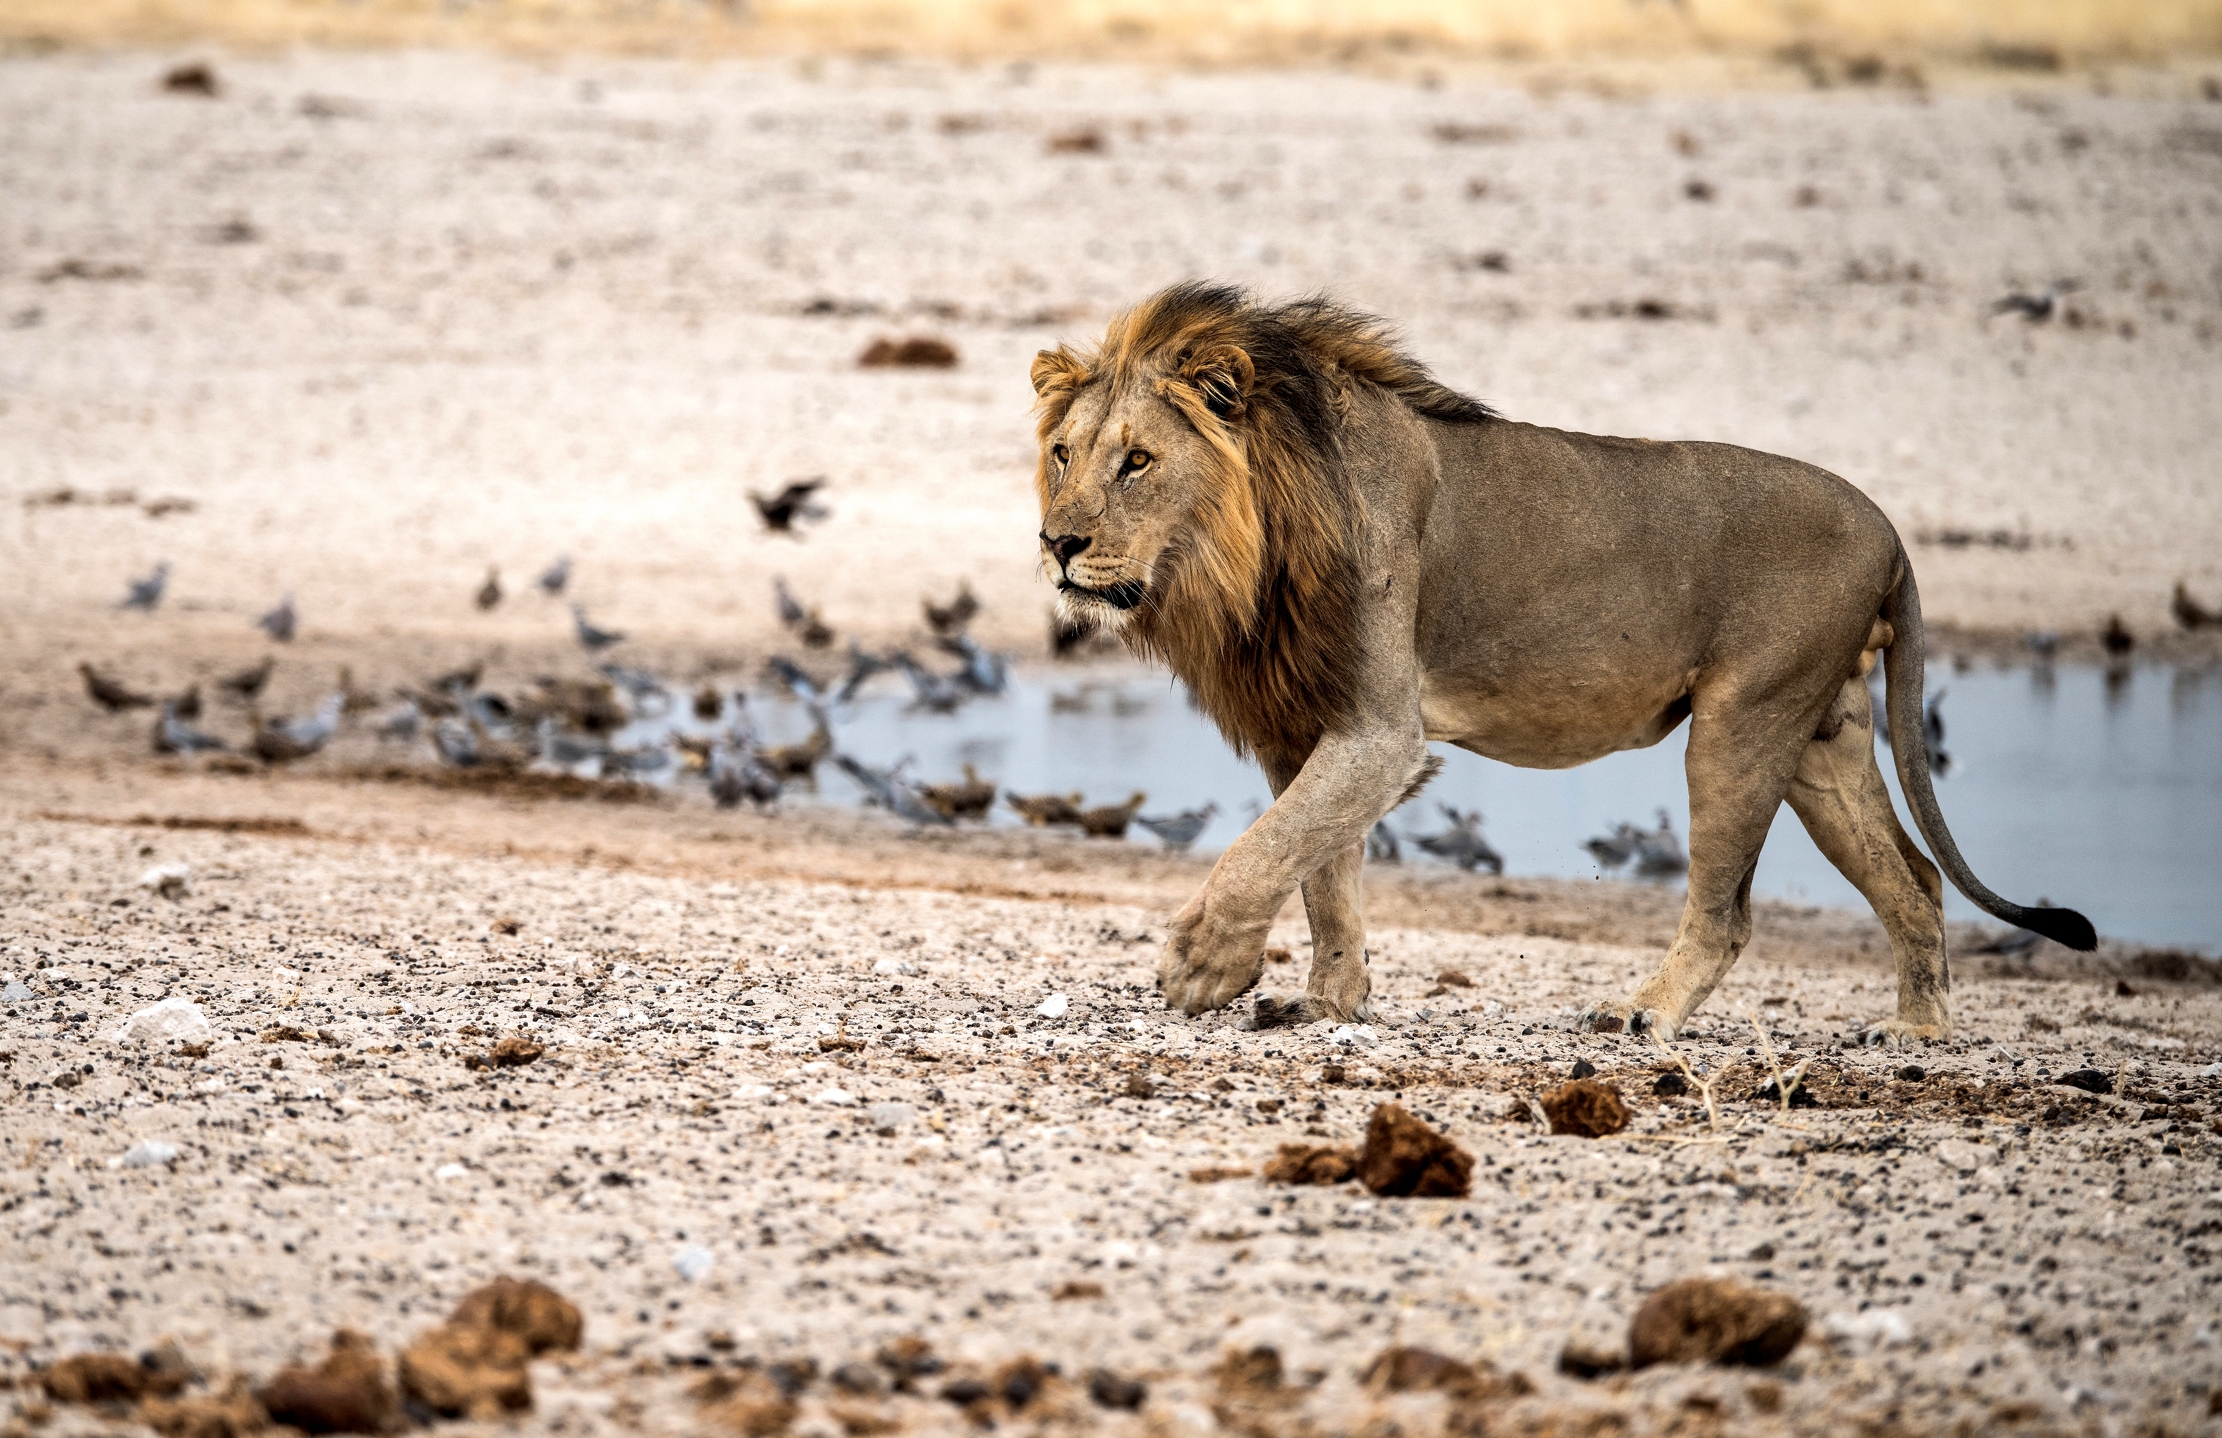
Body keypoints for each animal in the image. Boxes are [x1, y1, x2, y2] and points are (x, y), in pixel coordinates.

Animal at [1030, 281, 2094, 1044]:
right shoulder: (1307, 725)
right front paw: (1329, 1003)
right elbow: (1322, 870)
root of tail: (1891, 531)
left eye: (1137, 461)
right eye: (1062, 454)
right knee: (1913, 879)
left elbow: (1263, 850)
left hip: (1742, 724)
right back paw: (1918, 1030)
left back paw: (1642, 1013)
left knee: (1728, 910)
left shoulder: (1380, 732)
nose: (1057, 543)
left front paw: (1200, 966)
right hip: (1820, 738)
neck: (1240, 554)